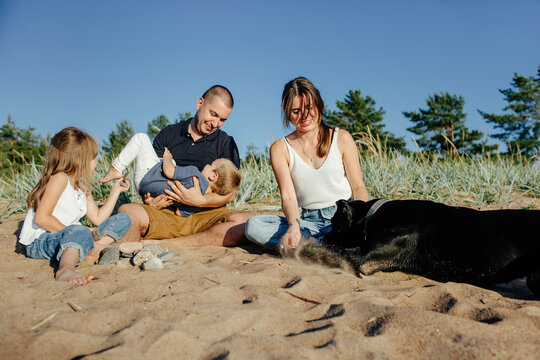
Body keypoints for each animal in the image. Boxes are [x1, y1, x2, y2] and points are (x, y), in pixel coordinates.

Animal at [300, 198, 540, 296]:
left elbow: (332, 252)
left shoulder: (364, 258)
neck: (372, 215)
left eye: (334, 224)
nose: (323, 238)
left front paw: (303, 251)